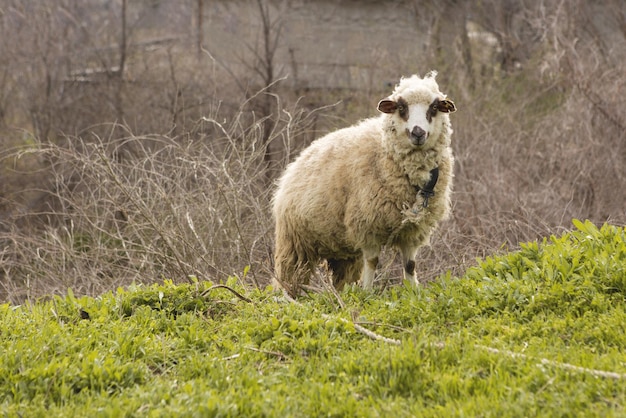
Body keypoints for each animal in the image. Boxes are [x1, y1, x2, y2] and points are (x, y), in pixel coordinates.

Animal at [270, 71, 456, 298]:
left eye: (434, 108)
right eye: (401, 107)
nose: (418, 133)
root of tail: (295, 163)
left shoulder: (412, 230)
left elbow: (410, 265)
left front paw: (414, 292)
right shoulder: (368, 225)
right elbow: (373, 261)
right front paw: (367, 293)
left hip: (343, 250)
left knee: (343, 276)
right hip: (295, 243)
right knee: (289, 275)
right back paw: (286, 296)